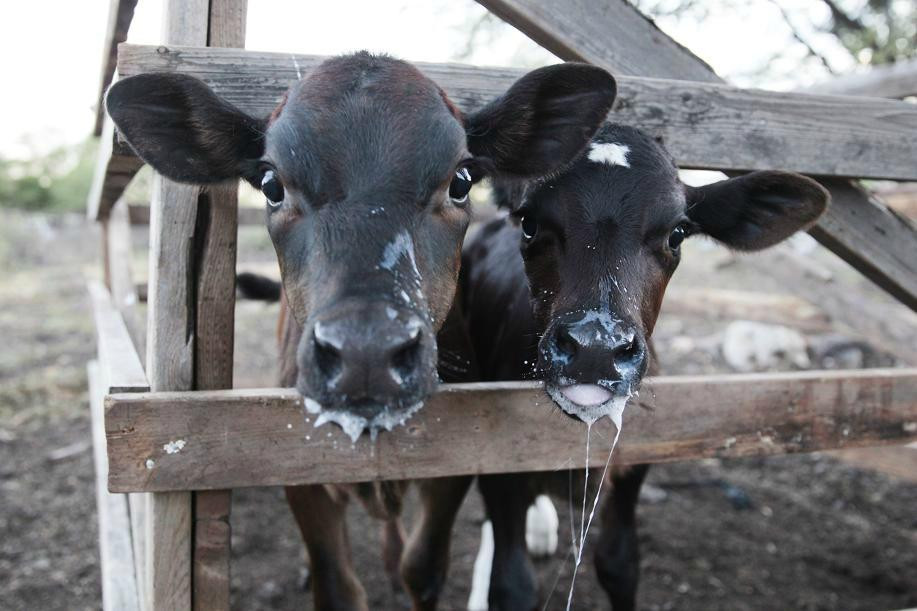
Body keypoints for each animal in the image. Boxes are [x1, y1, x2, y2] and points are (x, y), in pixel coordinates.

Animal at [106, 53, 618, 609]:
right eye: (271, 185)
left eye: (461, 180)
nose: (365, 353)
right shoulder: (295, 470)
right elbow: (337, 586)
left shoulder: (455, 464)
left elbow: (424, 568)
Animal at [459, 122, 829, 610]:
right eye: (530, 222)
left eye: (677, 233)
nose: (595, 348)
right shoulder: (497, 460)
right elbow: (512, 582)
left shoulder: (636, 459)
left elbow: (619, 565)